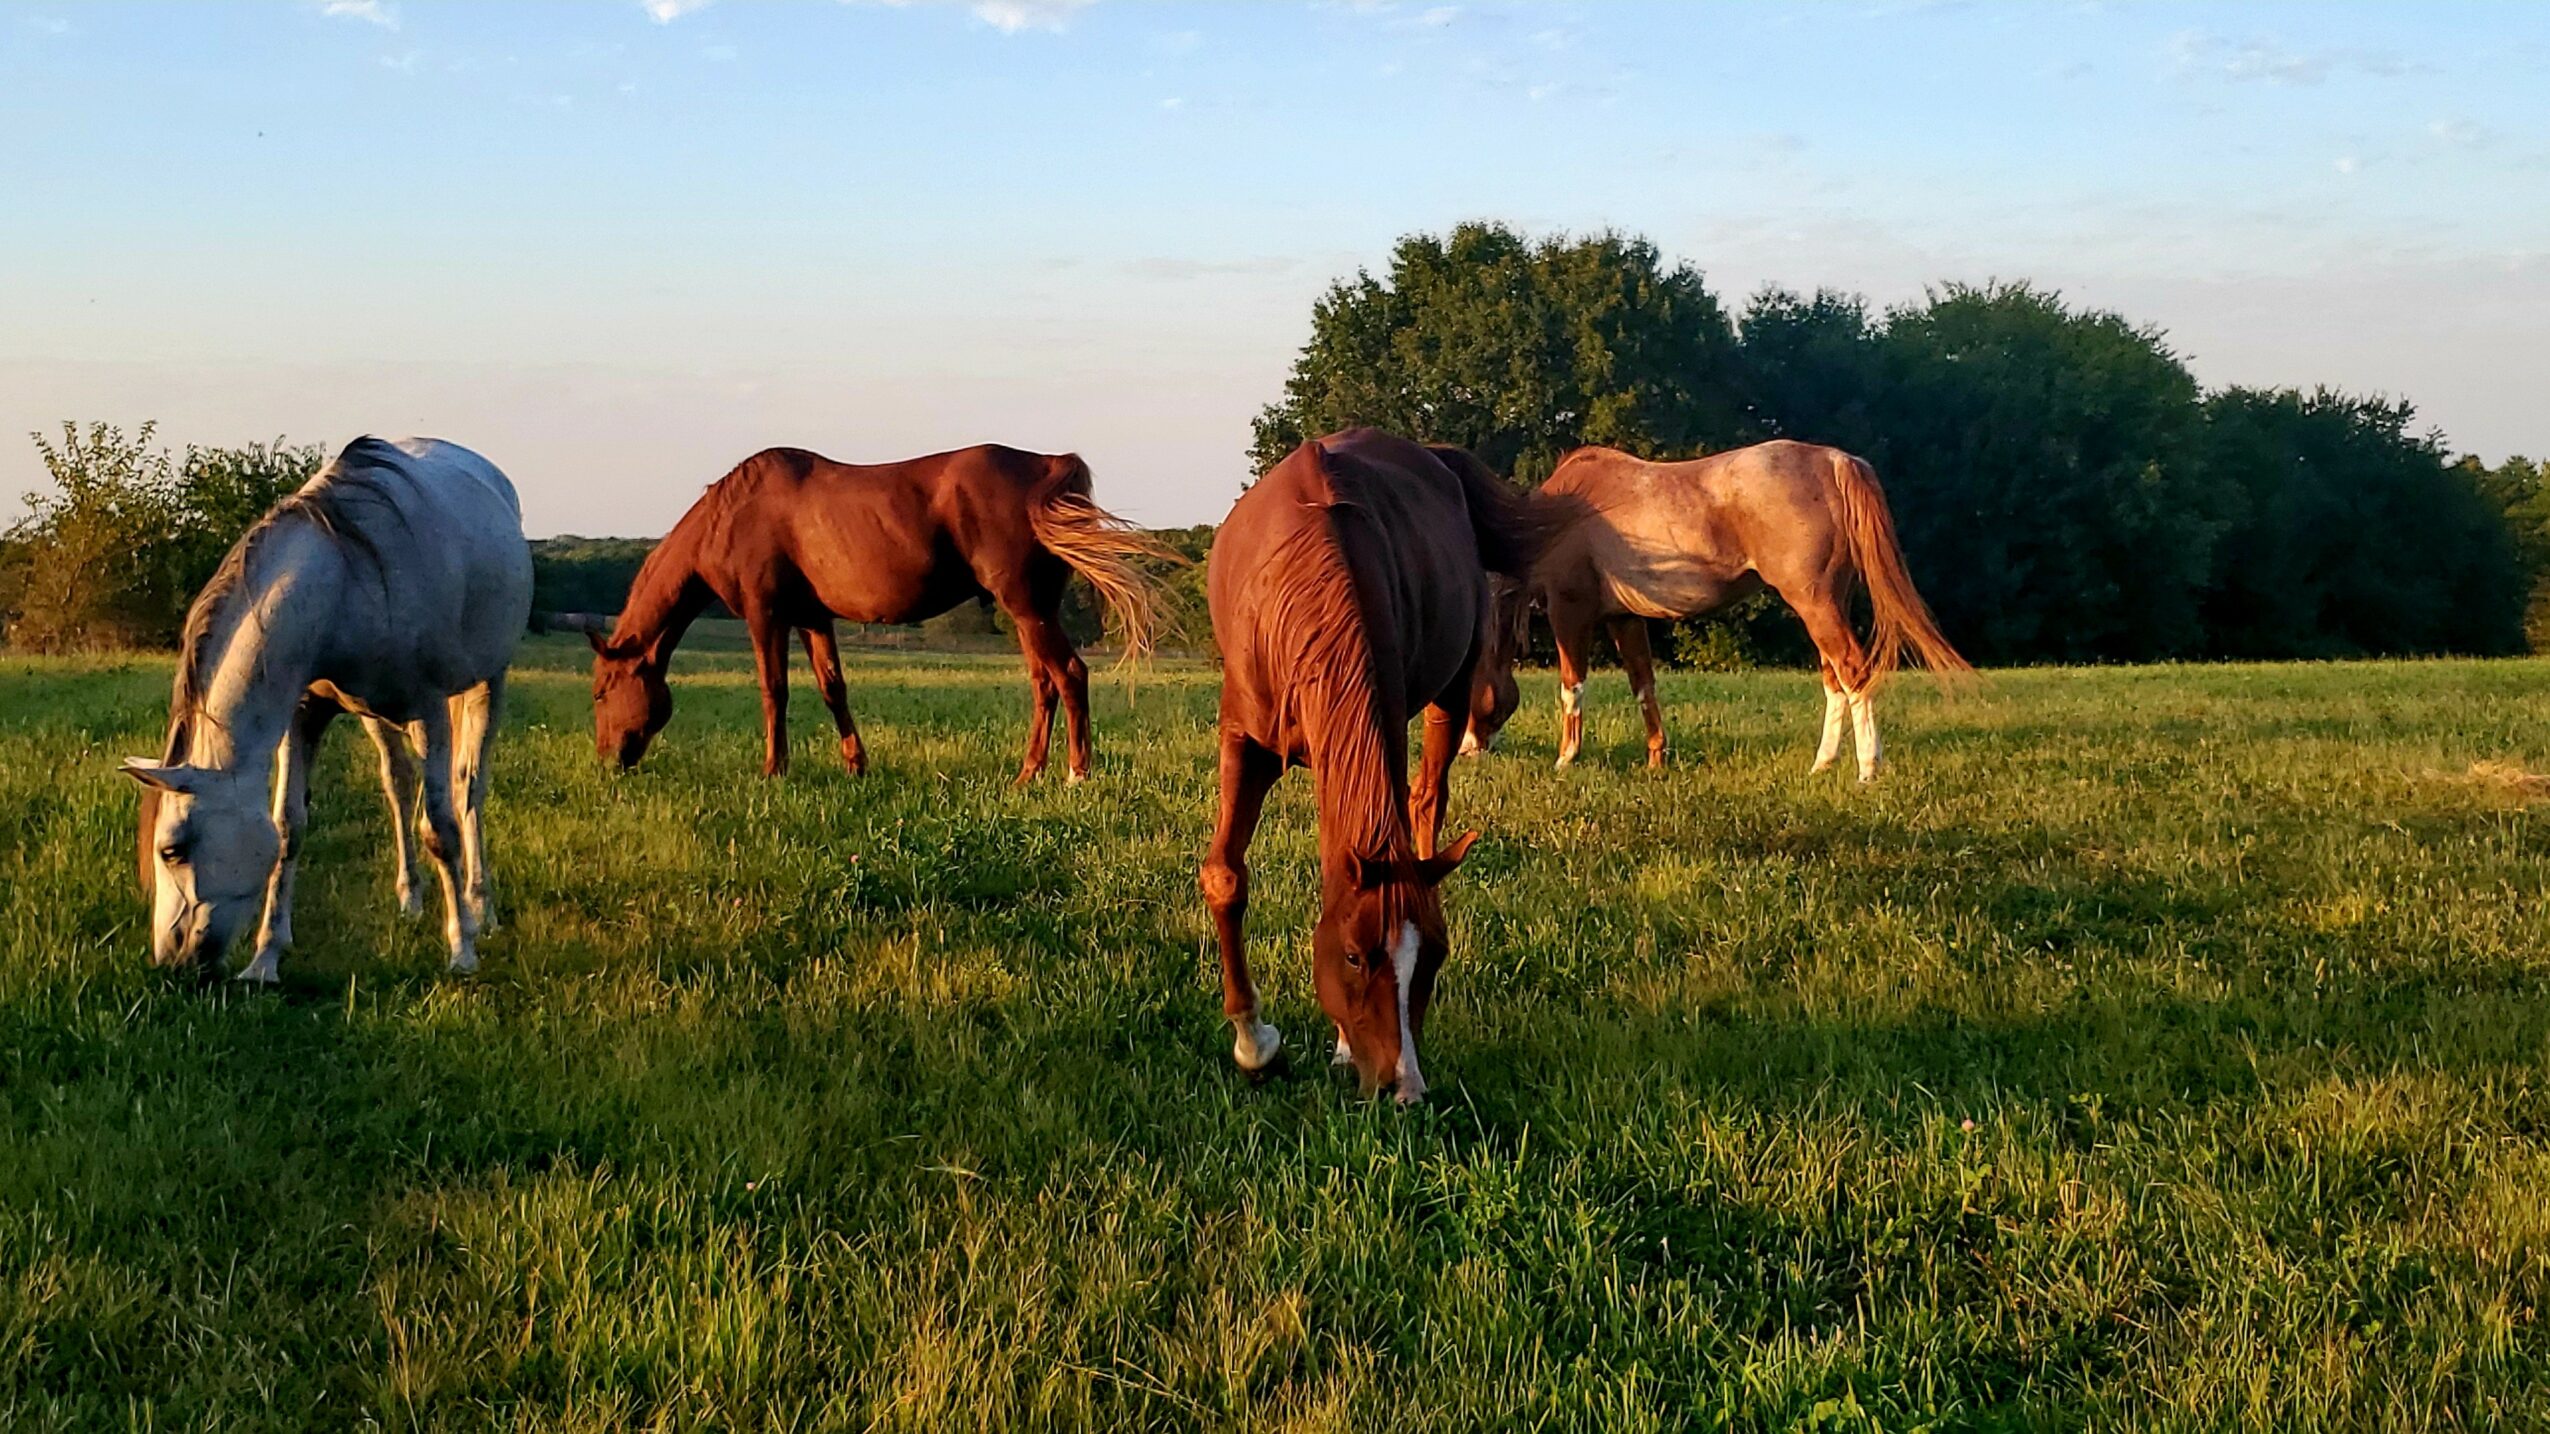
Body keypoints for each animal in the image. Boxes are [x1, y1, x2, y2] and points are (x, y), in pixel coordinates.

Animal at [121, 436, 532, 980]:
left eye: (171, 850)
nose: (171, 961)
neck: (348, 580)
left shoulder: (429, 711)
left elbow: (441, 829)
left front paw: (461, 949)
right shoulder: (304, 715)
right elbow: (288, 829)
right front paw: (266, 957)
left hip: (489, 683)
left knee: (469, 789)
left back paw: (481, 907)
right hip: (376, 716)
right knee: (398, 786)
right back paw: (410, 898)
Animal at [552, 444, 1173, 783]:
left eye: (601, 693)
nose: (609, 761)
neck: (728, 517)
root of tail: (1048, 466)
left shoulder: (765, 613)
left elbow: (773, 690)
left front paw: (774, 769)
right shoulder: (813, 618)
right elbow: (833, 689)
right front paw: (856, 764)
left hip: (1027, 608)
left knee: (1068, 675)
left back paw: (1075, 773)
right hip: (1027, 613)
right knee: (1044, 684)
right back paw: (1027, 773)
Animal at [1202, 428, 1550, 1103]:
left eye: (1437, 956)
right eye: (1354, 956)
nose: (1403, 1089)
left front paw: (1335, 1045)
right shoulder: (1245, 740)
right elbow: (1226, 876)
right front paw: (1255, 1045)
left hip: (1453, 693)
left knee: (1427, 799)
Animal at [1461, 440, 1970, 779]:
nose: (1465, 749)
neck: (1550, 521)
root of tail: (1834, 461)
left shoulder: (1571, 611)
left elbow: (1572, 687)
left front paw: (1566, 758)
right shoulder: (1625, 619)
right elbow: (1644, 687)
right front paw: (1656, 757)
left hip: (1815, 602)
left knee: (1853, 671)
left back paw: (1867, 769)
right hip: (1828, 603)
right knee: (1835, 679)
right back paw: (1822, 763)